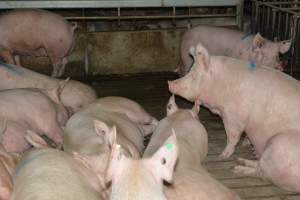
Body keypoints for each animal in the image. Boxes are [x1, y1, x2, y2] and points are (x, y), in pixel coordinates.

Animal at [169, 42, 300, 192]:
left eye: (195, 74)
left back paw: (237, 168)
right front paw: (246, 145)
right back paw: (243, 160)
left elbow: (232, 137)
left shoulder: (233, 116)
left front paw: (222, 155)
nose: (169, 83)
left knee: (262, 173)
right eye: (190, 69)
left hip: (279, 146)